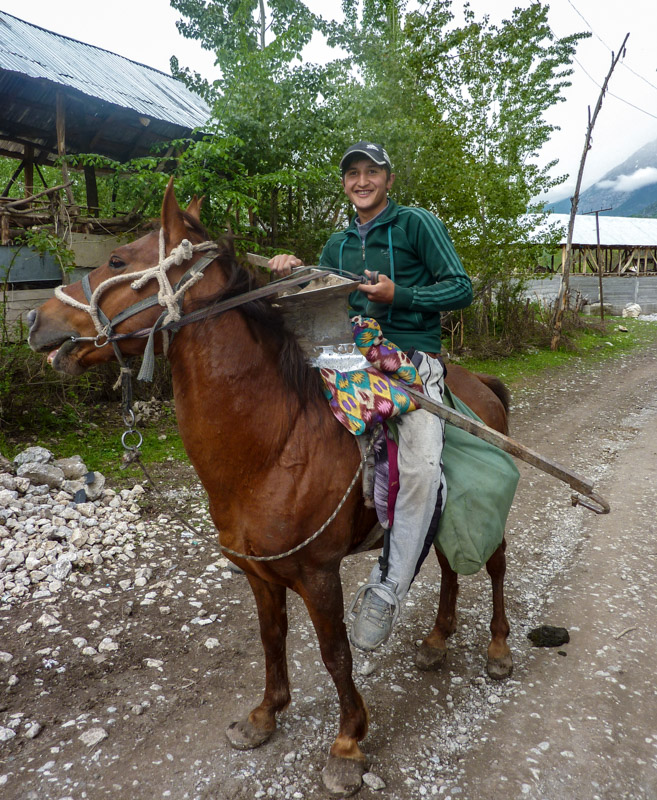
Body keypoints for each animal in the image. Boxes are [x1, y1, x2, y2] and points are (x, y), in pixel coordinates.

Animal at [28, 183, 512, 800]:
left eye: (116, 260)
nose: (35, 319)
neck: (273, 446)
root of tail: (481, 385)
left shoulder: (319, 573)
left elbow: (335, 654)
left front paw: (347, 745)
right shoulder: (260, 572)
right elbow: (271, 637)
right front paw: (265, 714)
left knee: (494, 565)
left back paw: (498, 649)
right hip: (442, 511)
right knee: (451, 565)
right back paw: (436, 640)